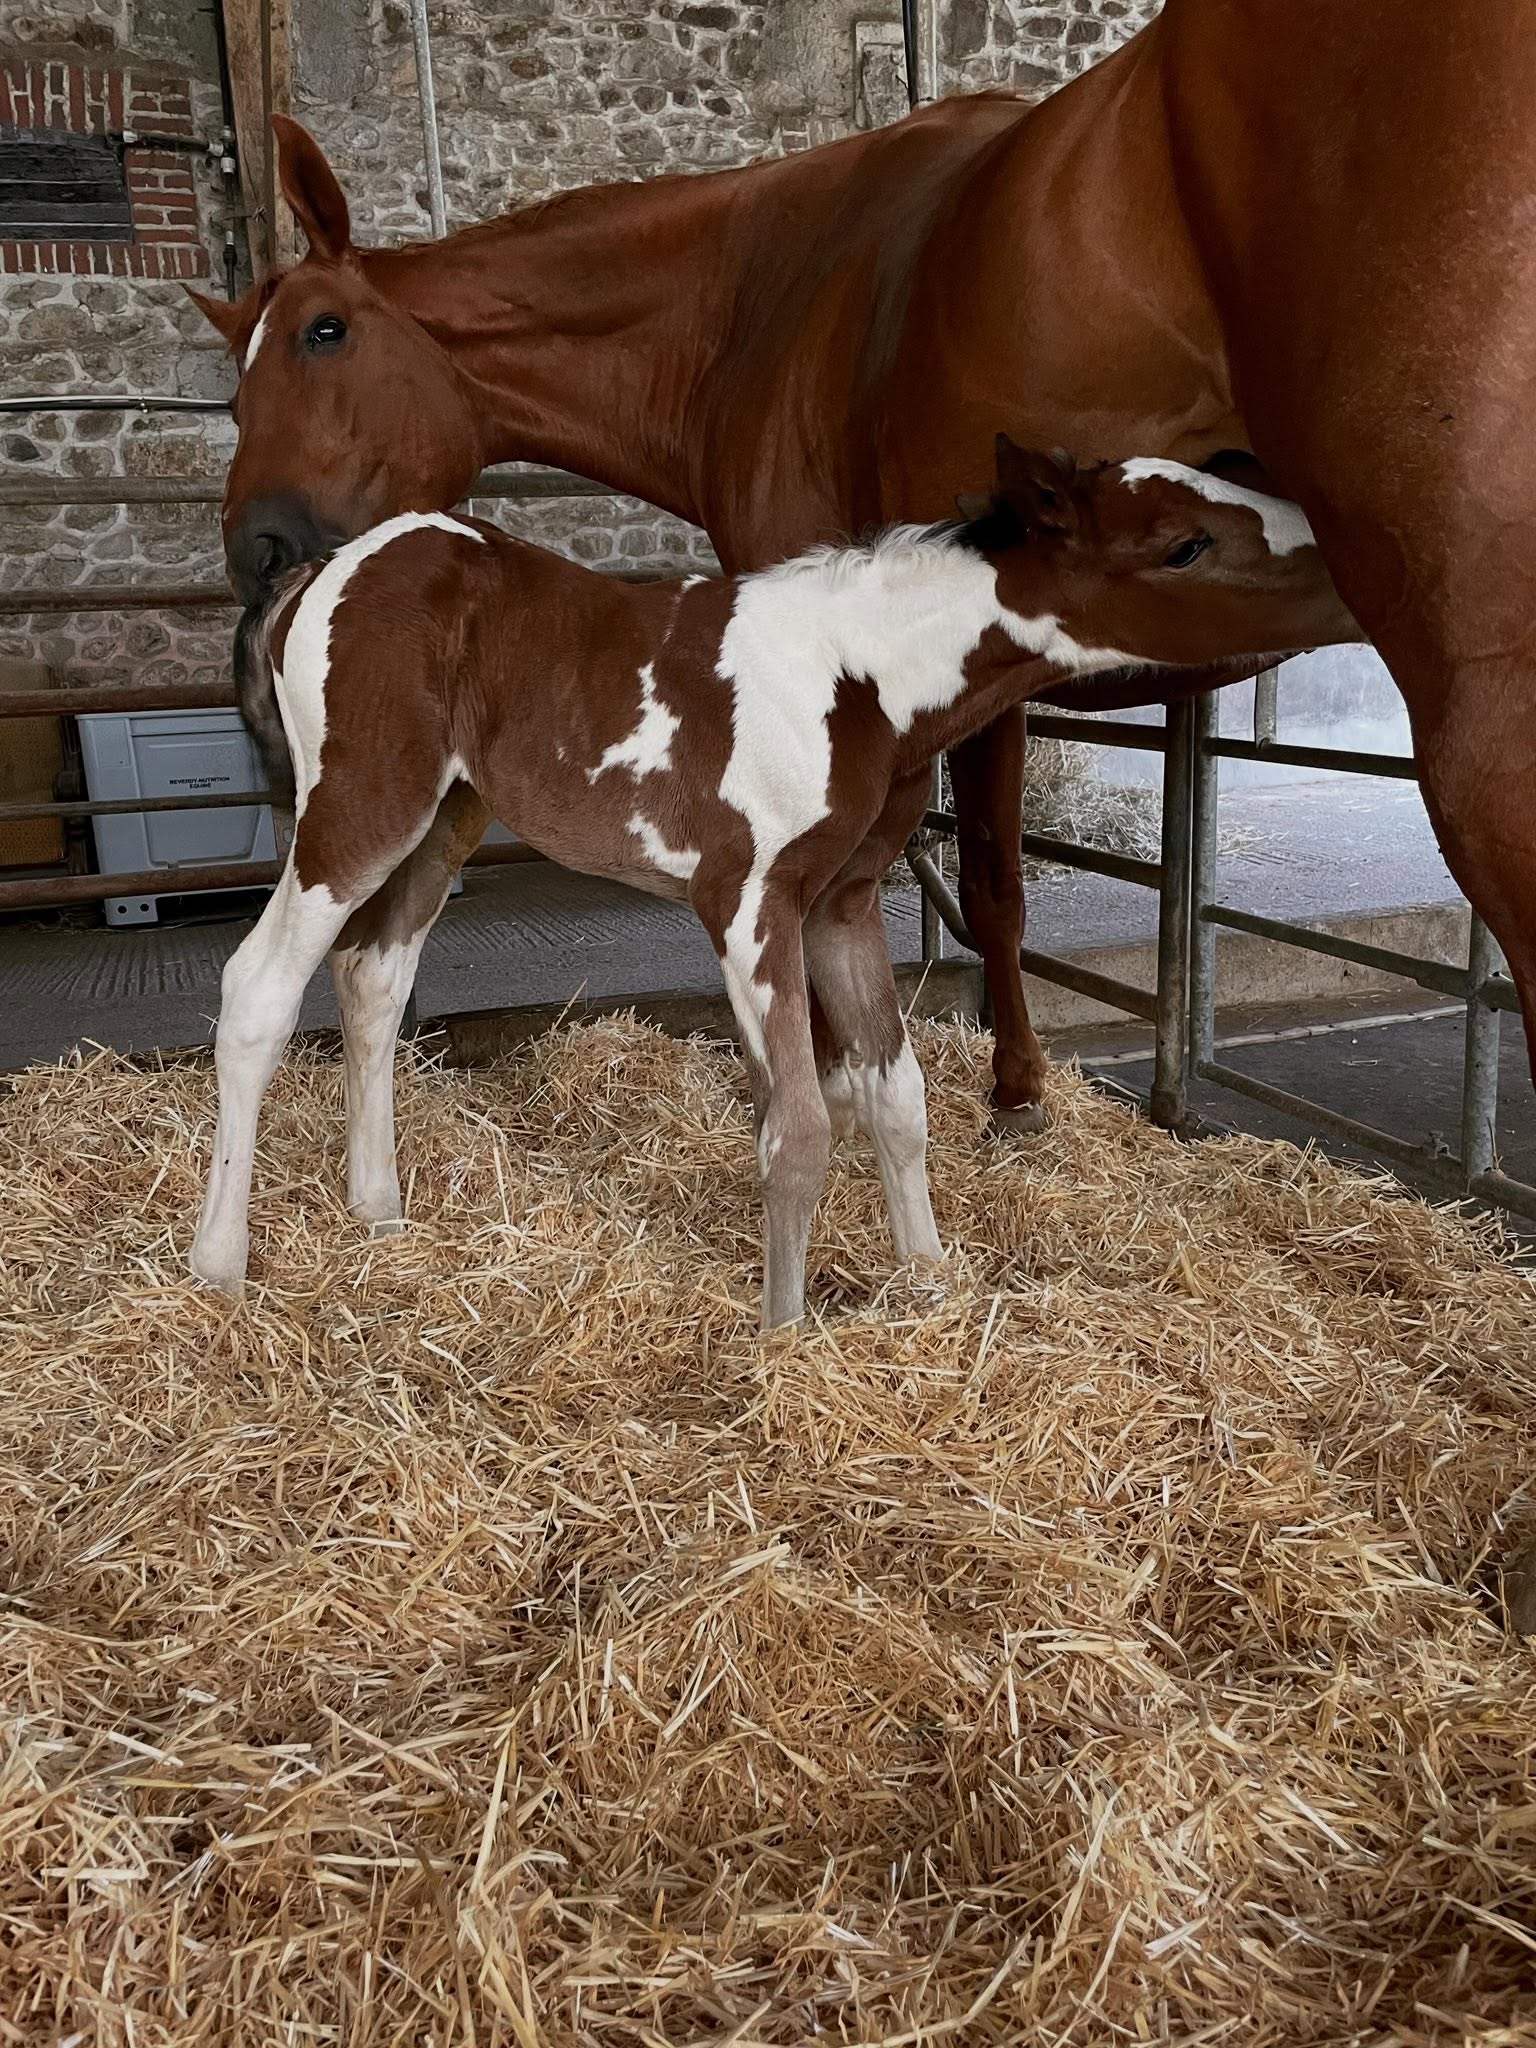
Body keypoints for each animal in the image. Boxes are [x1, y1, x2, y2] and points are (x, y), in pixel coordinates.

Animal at [189, 446, 1357, 1327]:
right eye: (1186, 542)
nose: (1352, 580)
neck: (862, 680)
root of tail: (323, 571)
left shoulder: (842, 902)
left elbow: (896, 1099)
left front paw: (929, 1284)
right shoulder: (749, 905)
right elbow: (798, 1129)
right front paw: (784, 1339)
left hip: (447, 816)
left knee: (373, 976)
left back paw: (379, 1214)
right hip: (360, 808)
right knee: (257, 989)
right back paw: (219, 1267)